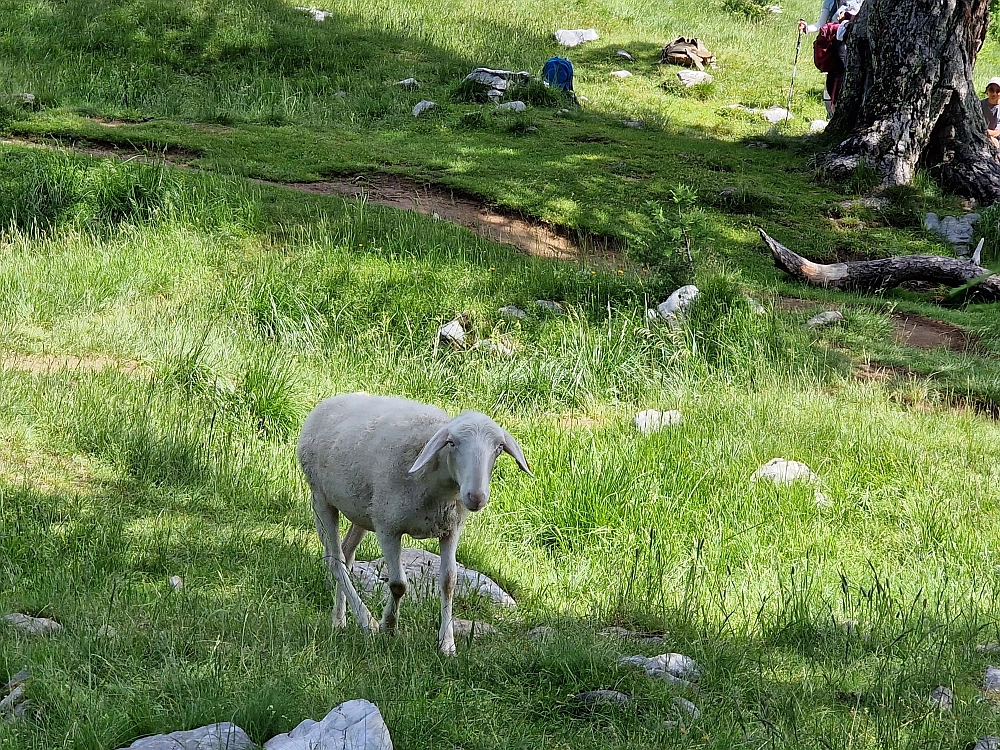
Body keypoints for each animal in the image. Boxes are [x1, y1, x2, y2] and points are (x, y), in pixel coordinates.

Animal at [294, 396, 532, 656]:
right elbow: (398, 584)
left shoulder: (450, 528)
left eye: (498, 448)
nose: (476, 497)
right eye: (451, 443)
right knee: (335, 560)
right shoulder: (388, 528)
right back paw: (367, 621)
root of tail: (331, 400)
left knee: (346, 555)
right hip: (321, 498)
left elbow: (449, 581)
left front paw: (447, 644)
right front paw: (388, 627)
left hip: (363, 511)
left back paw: (340, 620)